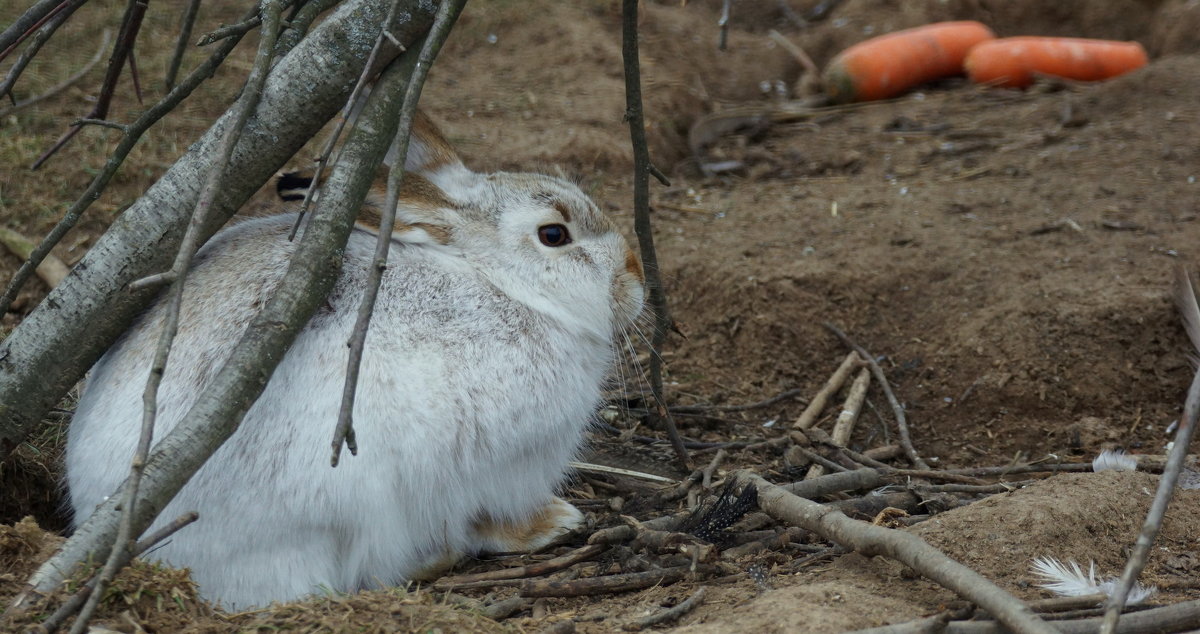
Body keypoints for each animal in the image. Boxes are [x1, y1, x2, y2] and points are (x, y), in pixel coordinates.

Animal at [65, 110, 648, 609]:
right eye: (554, 235)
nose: (636, 277)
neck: (507, 287)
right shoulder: (497, 467)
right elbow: (488, 511)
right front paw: (554, 522)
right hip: (341, 509)